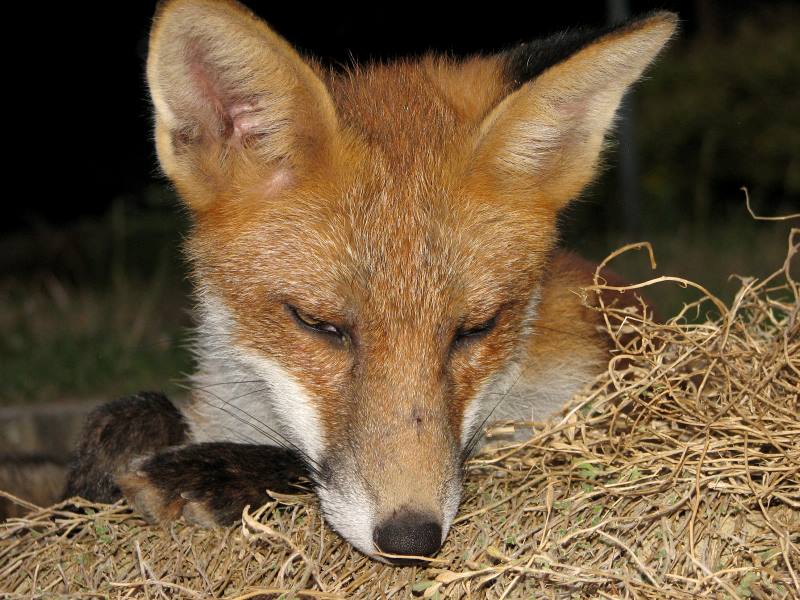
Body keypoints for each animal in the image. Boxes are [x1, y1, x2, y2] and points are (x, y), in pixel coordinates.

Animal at [64, 0, 676, 564]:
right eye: (317, 323)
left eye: (476, 329)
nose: (412, 540)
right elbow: (126, 415)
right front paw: (96, 475)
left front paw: (216, 473)